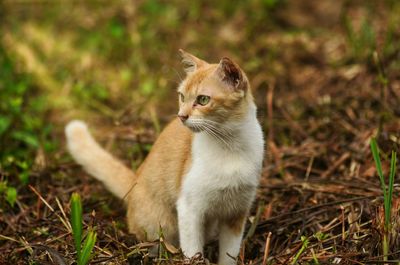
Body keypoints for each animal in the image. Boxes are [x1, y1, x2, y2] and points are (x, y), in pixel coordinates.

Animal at [65, 50, 266, 264]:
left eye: (203, 100)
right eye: (182, 96)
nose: (181, 115)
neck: (230, 146)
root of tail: (135, 181)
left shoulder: (237, 213)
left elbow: (229, 254)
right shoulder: (189, 208)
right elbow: (193, 250)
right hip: (164, 226)